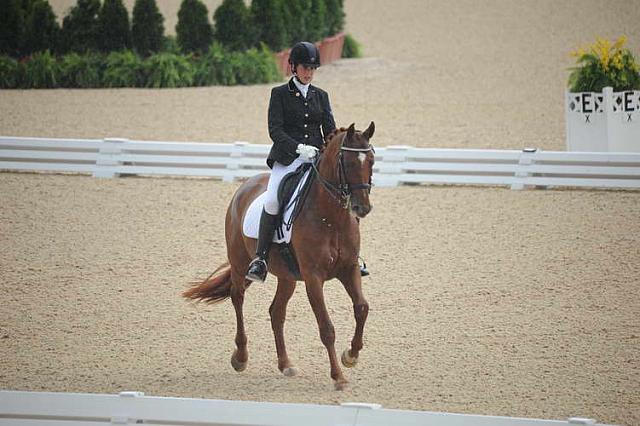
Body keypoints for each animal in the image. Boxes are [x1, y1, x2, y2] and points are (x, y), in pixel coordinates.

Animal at [182, 120, 376, 390]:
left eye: (371, 161)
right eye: (346, 163)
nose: (362, 208)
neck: (331, 218)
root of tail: (246, 185)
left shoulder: (348, 269)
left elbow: (362, 308)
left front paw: (351, 355)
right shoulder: (313, 278)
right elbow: (326, 328)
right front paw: (338, 376)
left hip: (287, 276)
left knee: (276, 312)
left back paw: (285, 365)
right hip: (240, 264)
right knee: (237, 298)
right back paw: (240, 357)